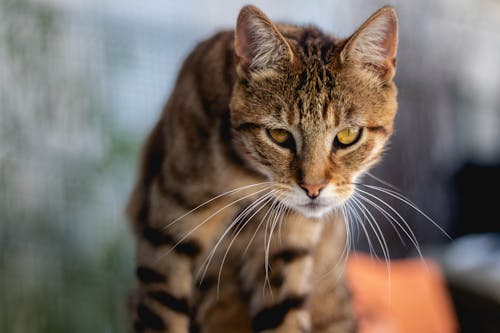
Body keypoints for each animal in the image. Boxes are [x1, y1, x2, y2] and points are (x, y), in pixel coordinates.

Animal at [126, 5, 398, 332]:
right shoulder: (168, 238)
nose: (313, 189)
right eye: (279, 135)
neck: (248, 180)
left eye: (347, 135)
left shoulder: (287, 247)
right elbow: (162, 315)